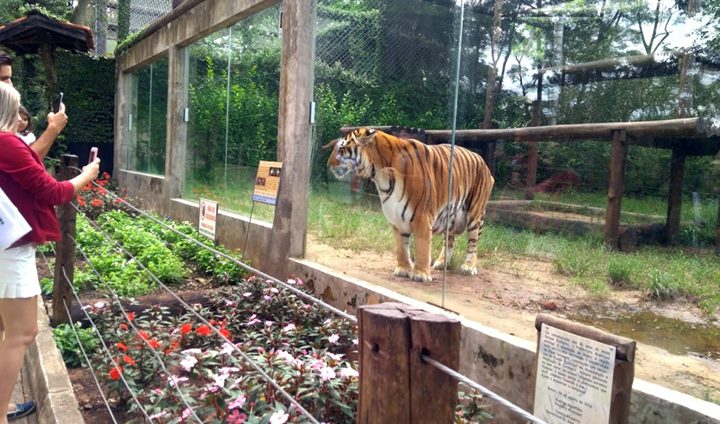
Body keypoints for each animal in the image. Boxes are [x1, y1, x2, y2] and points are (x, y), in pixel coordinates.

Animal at [326, 127, 496, 284]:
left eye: (341, 149)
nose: (328, 164)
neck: (380, 175)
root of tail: (482, 161)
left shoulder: (422, 216)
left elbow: (422, 246)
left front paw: (420, 274)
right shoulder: (397, 216)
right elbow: (401, 247)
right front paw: (403, 269)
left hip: (475, 213)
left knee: (473, 242)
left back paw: (468, 267)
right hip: (451, 216)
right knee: (450, 240)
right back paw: (441, 263)